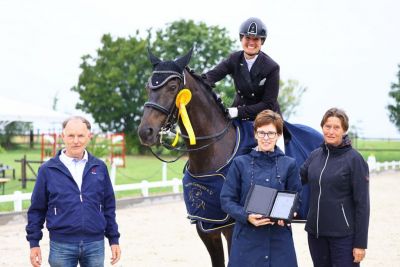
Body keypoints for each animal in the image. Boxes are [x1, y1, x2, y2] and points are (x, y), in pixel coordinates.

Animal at [138, 49, 322, 266]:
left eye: (173, 87)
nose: (145, 132)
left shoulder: (232, 227)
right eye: (148, 86)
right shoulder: (207, 227)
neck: (212, 152)